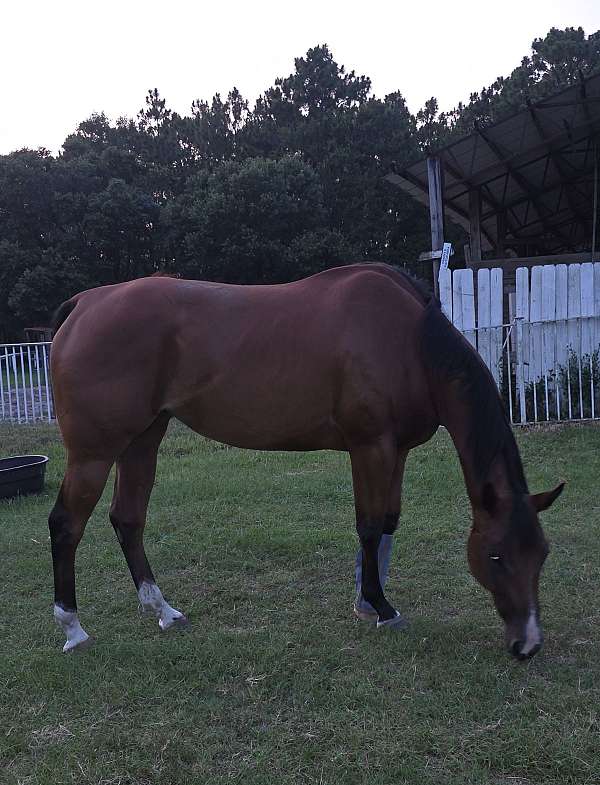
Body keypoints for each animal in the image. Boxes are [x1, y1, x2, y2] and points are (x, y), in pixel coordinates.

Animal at [49, 263, 563, 658]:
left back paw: (163, 611)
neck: (408, 340)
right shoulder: (370, 447)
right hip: (94, 453)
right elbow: (368, 525)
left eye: (541, 554)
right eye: (496, 556)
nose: (527, 645)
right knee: (66, 525)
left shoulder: (396, 451)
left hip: (142, 441)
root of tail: (87, 303)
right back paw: (72, 628)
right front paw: (381, 607)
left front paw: (368, 601)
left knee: (128, 520)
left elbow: (388, 523)